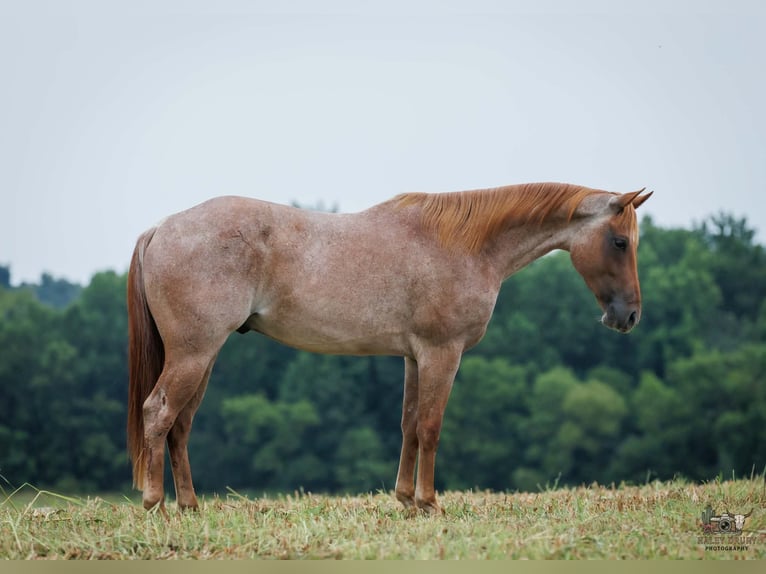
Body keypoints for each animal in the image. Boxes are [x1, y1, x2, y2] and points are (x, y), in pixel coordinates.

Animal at [127, 182, 652, 515]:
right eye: (619, 241)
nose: (628, 316)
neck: (464, 244)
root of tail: (162, 228)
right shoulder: (442, 353)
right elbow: (431, 427)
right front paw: (430, 503)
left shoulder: (414, 357)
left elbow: (409, 425)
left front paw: (405, 500)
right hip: (194, 353)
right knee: (158, 413)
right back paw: (155, 504)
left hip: (203, 356)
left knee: (179, 424)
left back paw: (191, 506)